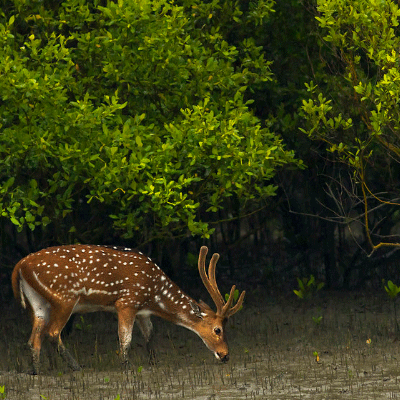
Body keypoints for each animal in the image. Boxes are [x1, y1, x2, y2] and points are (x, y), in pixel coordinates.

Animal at [11, 245, 244, 374]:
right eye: (217, 330)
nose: (225, 355)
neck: (154, 295)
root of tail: (20, 265)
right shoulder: (127, 302)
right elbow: (125, 338)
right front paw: (126, 366)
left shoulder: (142, 311)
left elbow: (150, 335)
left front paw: (153, 362)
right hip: (65, 297)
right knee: (52, 333)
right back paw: (76, 367)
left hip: (38, 303)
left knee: (33, 339)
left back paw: (36, 371)